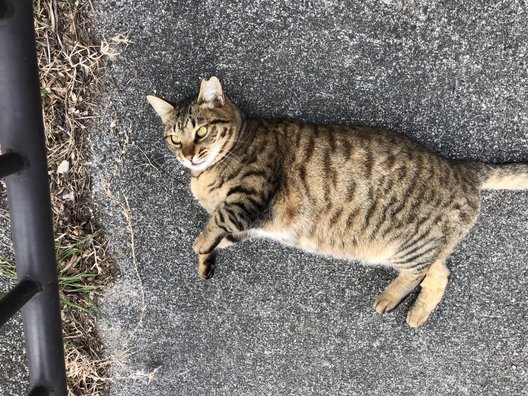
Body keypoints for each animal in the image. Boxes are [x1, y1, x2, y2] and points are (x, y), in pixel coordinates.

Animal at [146, 76, 528, 326]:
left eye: (201, 132)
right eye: (174, 138)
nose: (188, 155)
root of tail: (461, 167)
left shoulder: (250, 194)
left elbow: (217, 221)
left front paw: (201, 245)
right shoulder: (249, 223)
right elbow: (222, 234)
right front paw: (207, 258)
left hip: (407, 244)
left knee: (420, 271)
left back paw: (389, 299)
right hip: (416, 245)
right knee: (440, 273)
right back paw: (415, 315)